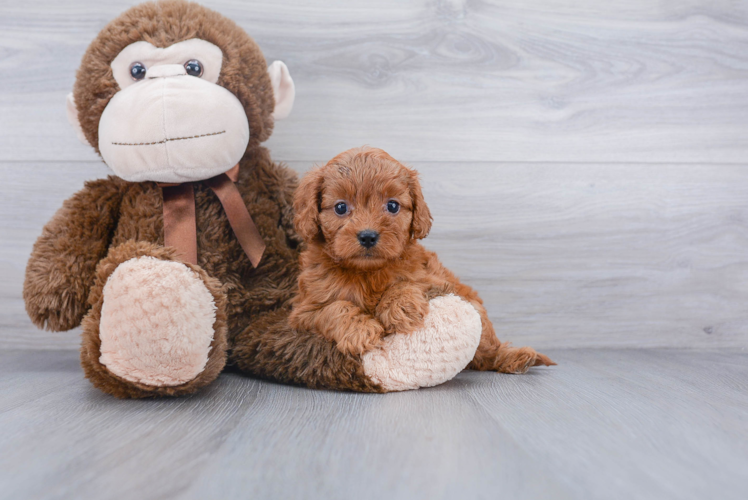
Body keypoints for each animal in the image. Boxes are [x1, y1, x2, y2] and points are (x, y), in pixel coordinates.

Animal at [290, 146, 556, 374]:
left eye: (392, 206)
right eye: (341, 207)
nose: (367, 236)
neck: (367, 272)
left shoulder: (436, 280)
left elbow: (409, 282)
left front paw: (400, 306)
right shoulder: (302, 314)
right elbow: (334, 308)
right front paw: (360, 329)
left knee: (488, 352)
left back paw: (514, 358)